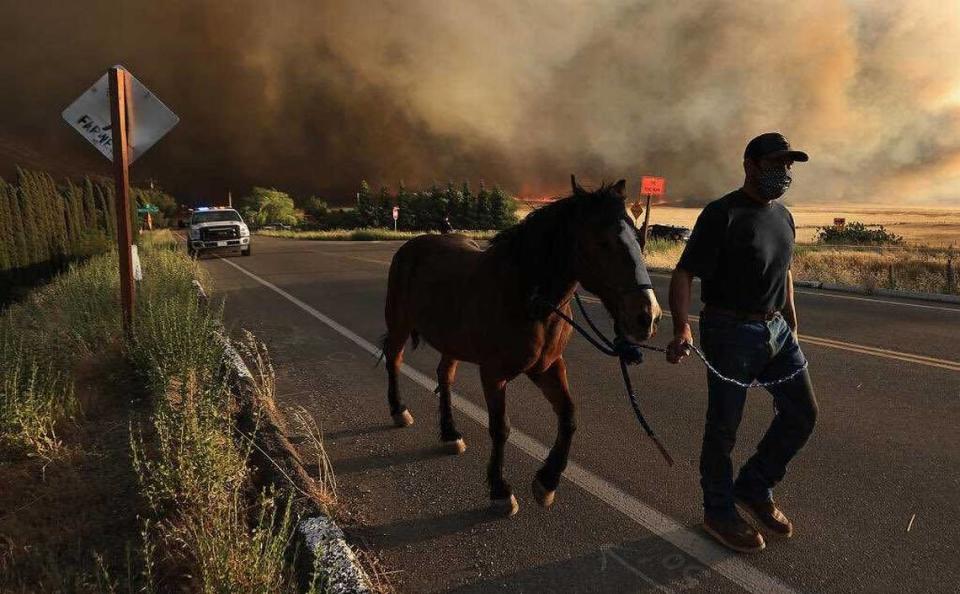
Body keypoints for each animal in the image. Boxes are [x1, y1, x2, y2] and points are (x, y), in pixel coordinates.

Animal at [380, 176, 660, 512]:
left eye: (639, 239)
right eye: (601, 242)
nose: (647, 316)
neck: (528, 297)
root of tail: (412, 246)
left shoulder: (548, 367)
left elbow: (569, 417)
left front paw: (547, 481)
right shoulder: (493, 374)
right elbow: (501, 427)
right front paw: (500, 489)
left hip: (452, 341)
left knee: (444, 376)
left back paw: (449, 433)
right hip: (399, 325)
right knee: (394, 361)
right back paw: (399, 410)